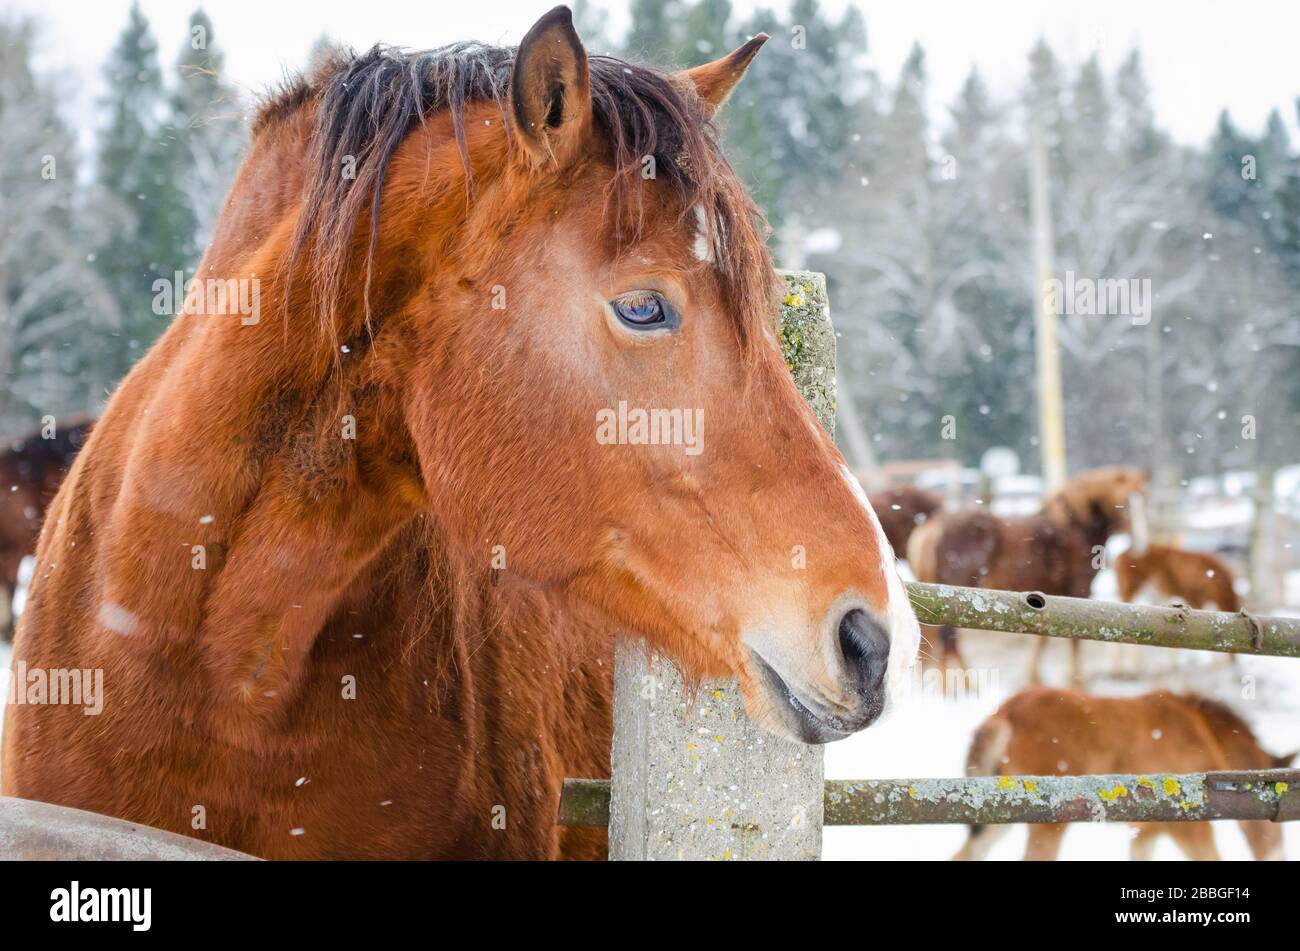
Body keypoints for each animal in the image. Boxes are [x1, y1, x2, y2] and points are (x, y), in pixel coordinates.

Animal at [909, 465, 1144, 675]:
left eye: (1143, 497)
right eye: (1125, 502)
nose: (1138, 542)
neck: (1075, 526)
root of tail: (931, 527)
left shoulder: (1052, 596)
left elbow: (1044, 636)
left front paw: (1034, 677)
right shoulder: (1079, 590)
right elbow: (1074, 640)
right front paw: (1075, 683)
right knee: (949, 641)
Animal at [956, 685, 1289, 862]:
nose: (1277, 855)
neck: (1200, 731)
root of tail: (1005, 713)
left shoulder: (1145, 832)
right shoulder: (1189, 828)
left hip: (998, 814)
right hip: (1047, 825)